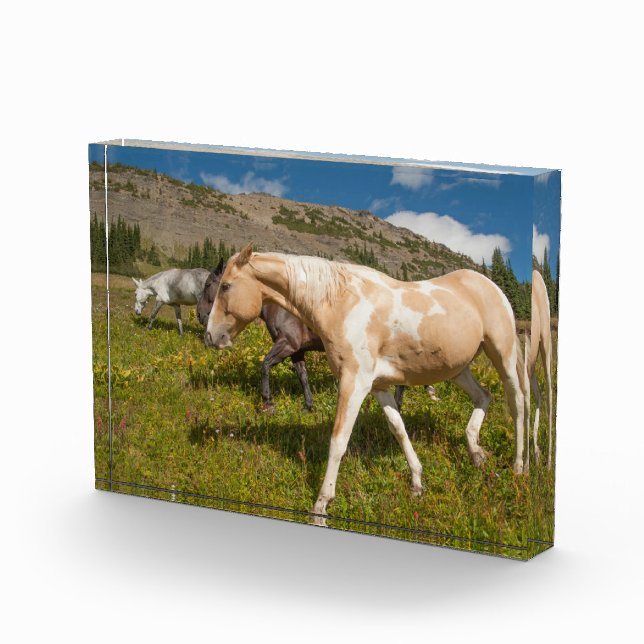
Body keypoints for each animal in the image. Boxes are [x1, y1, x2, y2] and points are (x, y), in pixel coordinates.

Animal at [197, 259, 439, 412]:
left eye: (210, 284)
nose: (200, 315)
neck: (281, 306)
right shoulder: (297, 351)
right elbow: (302, 377)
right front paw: (308, 406)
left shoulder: (287, 344)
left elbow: (264, 365)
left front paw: (268, 401)